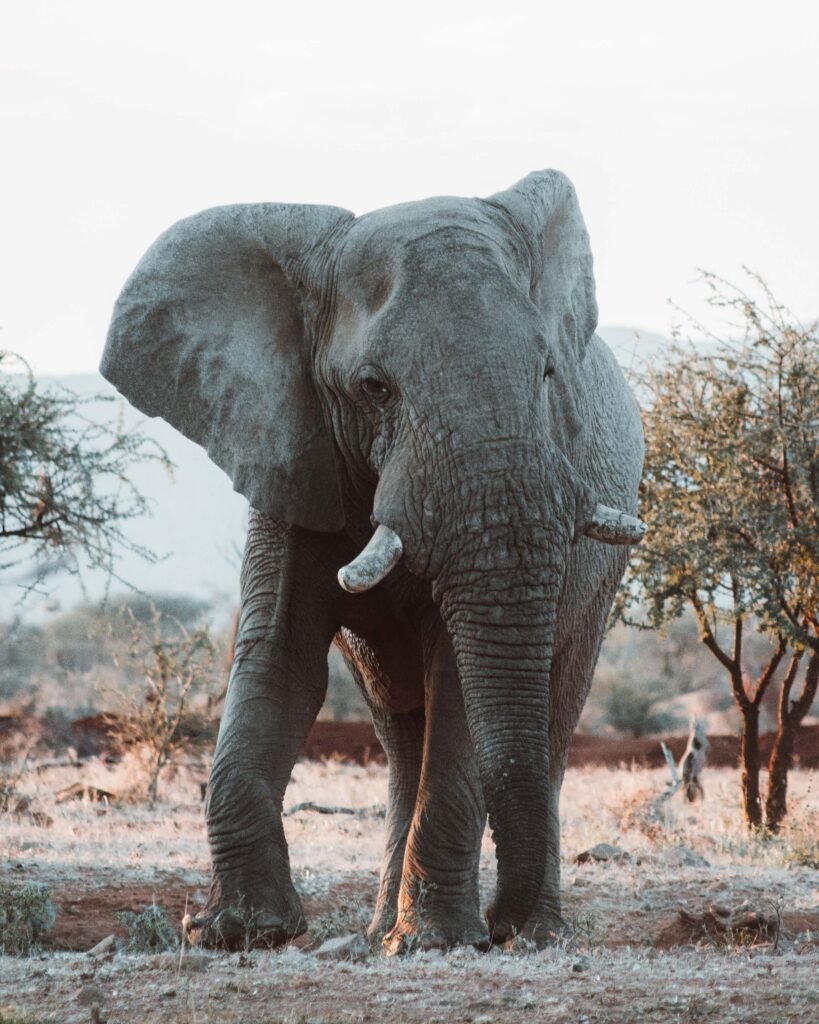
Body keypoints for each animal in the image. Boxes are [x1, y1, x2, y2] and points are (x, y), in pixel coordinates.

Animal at [100, 169, 645, 953]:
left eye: (547, 372)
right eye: (373, 388)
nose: (500, 930)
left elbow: (458, 681)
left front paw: (438, 941)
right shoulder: (289, 450)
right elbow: (279, 662)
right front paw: (239, 930)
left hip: (598, 583)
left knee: (549, 716)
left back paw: (517, 930)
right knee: (400, 737)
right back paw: (396, 926)